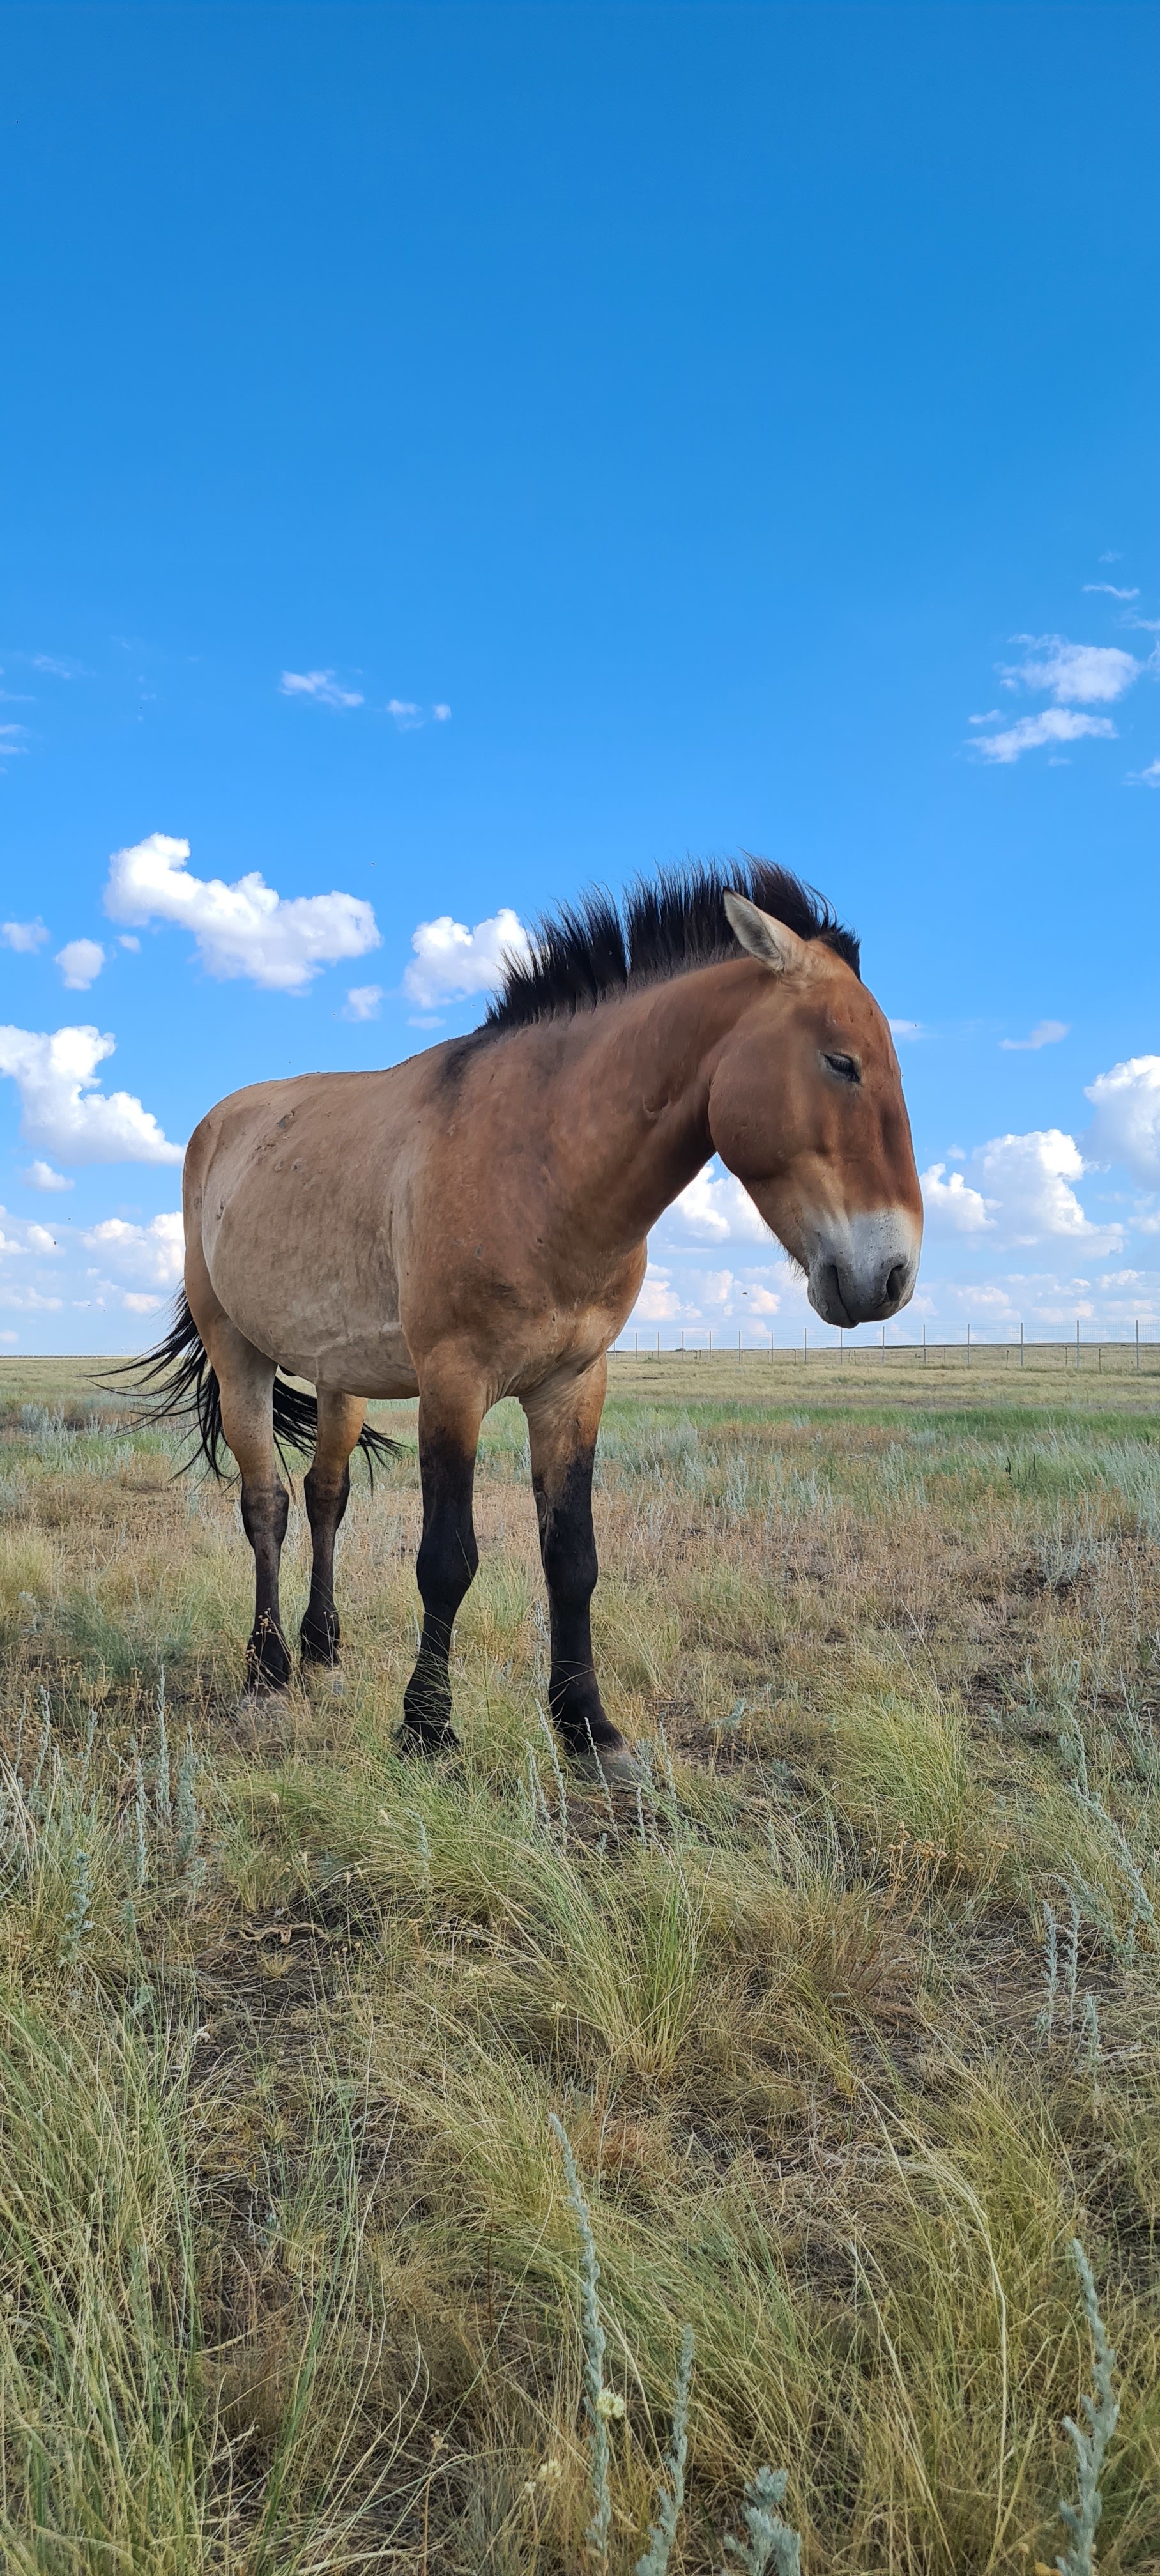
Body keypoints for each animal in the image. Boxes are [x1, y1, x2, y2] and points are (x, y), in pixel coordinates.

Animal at [137, 860, 922, 1772]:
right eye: (841, 1062)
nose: (890, 1276)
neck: (542, 1159)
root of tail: (219, 1124)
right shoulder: (454, 1382)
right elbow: (446, 1560)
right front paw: (426, 1726)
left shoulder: (572, 1384)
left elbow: (571, 1558)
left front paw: (587, 1725)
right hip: (239, 1352)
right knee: (266, 1503)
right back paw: (266, 1673)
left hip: (342, 1377)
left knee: (326, 1494)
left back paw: (322, 1647)